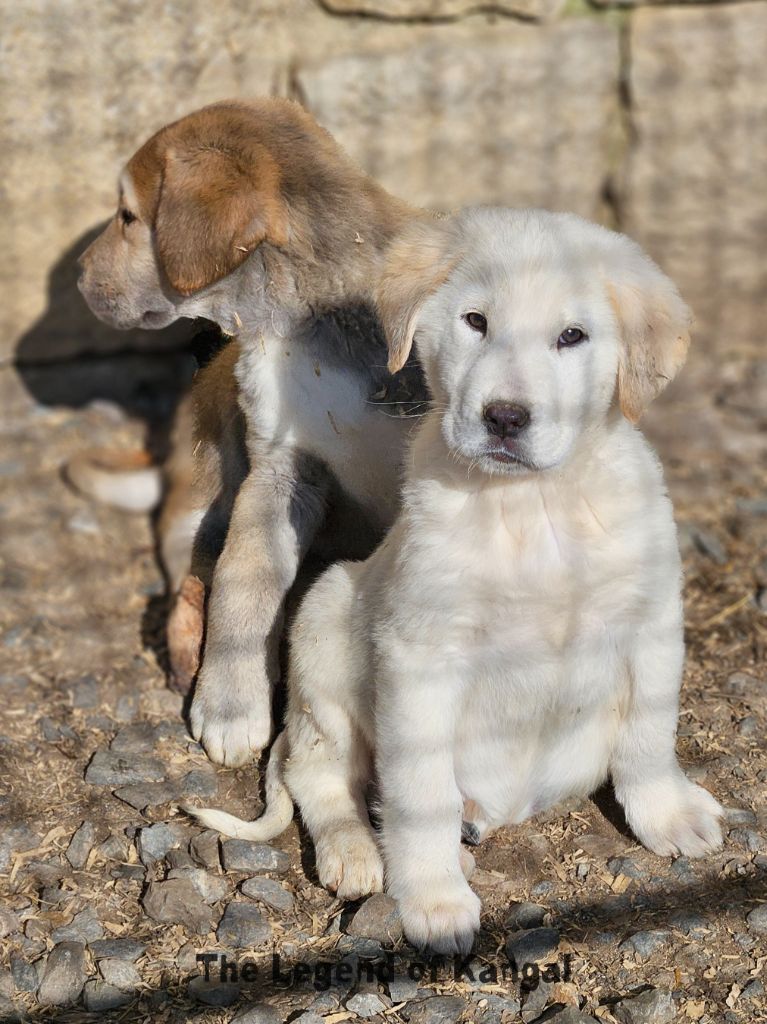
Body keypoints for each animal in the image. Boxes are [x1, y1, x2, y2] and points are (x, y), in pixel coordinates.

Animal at [78, 97, 428, 770]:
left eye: (128, 215)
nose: (78, 276)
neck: (296, 320)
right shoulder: (280, 471)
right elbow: (244, 586)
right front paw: (231, 707)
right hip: (204, 501)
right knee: (191, 586)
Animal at [188, 211, 720, 954]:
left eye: (571, 336)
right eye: (475, 322)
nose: (504, 417)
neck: (533, 506)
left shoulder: (651, 622)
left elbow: (648, 736)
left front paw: (667, 816)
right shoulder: (420, 659)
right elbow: (419, 796)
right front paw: (434, 900)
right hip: (324, 625)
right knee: (317, 772)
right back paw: (357, 851)